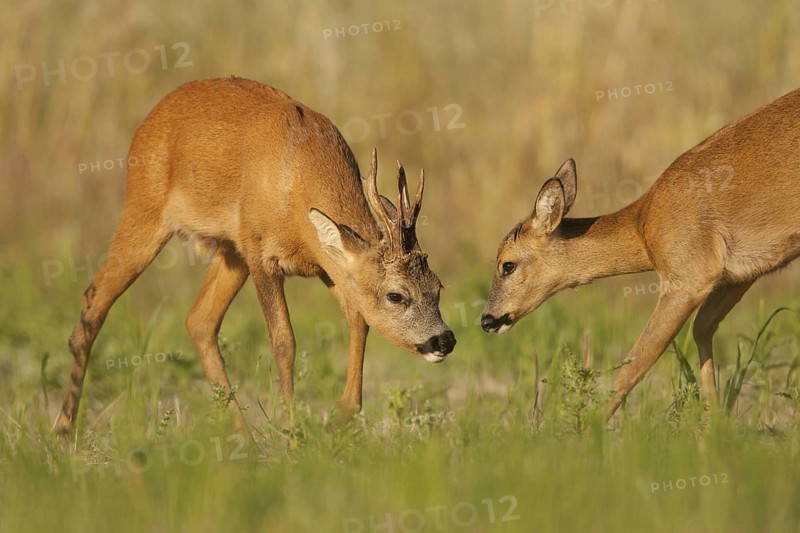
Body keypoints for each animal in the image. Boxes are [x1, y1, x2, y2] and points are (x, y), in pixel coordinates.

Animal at [53, 76, 456, 436]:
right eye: (396, 295)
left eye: (438, 287)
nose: (444, 340)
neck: (297, 182)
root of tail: (149, 119)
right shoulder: (262, 253)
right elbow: (284, 341)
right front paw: (293, 433)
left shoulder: (324, 264)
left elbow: (359, 320)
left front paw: (341, 417)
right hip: (145, 210)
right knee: (93, 302)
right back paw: (62, 430)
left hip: (231, 251)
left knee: (199, 321)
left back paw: (244, 436)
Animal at [481, 88, 800, 419]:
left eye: (507, 265)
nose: (487, 320)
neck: (644, 226)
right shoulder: (737, 276)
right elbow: (702, 328)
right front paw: (714, 422)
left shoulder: (689, 276)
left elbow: (635, 363)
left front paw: (585, 427)